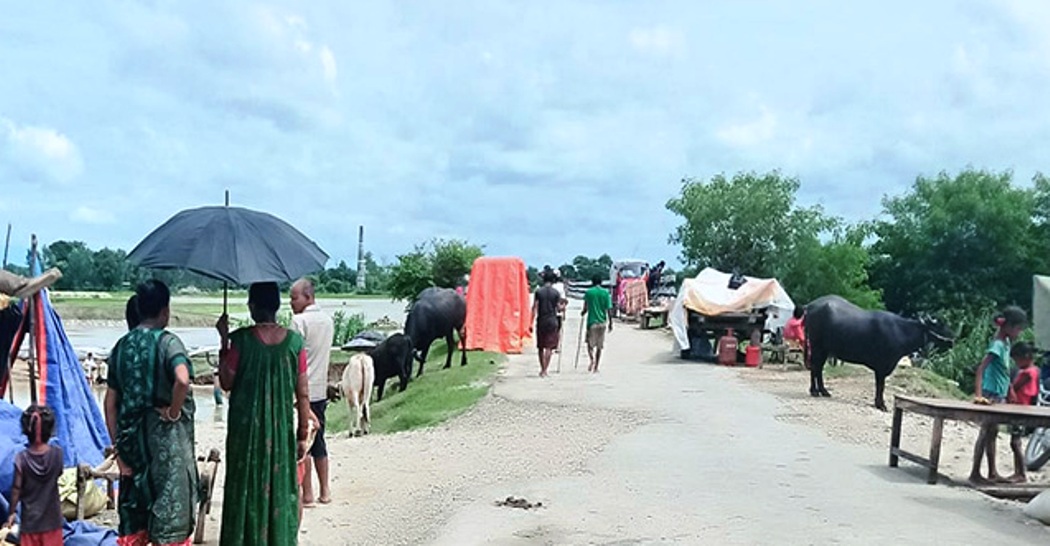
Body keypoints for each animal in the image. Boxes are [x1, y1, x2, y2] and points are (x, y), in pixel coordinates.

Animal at [802, 296, 953, 411]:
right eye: (940, 326)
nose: (952, 340)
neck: (901, 331)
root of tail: (810, 306)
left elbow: (879, 385)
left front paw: (878, 403)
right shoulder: (882, 366)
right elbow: (881, 386)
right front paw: (881, 404)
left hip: (824, 349)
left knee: (819, 368)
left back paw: (823, 391)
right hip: (817, 346)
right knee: (815, 367)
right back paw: (814, 391)